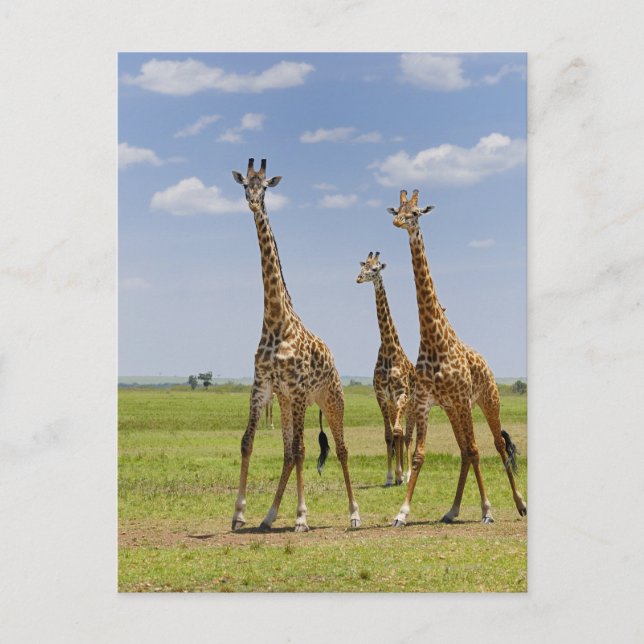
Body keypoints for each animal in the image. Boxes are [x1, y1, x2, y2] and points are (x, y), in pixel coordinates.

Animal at [230, 158, 361, 532]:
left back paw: (354, 514)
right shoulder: (264, 386)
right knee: (289, 453)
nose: (253, 202)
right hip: (287, 402)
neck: (277, 321)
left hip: (331, 400)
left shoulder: (300, 389)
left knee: (341, 450)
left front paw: (302, 516)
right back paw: (269, 515)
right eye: (244, 184)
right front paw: (239, 513)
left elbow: (304, 449)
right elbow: (248, 442)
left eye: (265, 187)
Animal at [356, 251, 416, 486]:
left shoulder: (401, 395)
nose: (359, 278)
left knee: (407, 436)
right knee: (398, 435)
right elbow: (389, 435)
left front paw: (403, 474)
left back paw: (407, 474)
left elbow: (400, 433)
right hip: (393, 406)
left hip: (410, 406)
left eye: (375, 269)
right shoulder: (382, 396)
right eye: (363, 266)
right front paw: (391, 476)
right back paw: (399, 475)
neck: (390, 350)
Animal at [387, 189, 527, 527]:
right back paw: (452, 510)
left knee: (496, 445)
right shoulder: (425, 402)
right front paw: (401, 513)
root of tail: (487, 365)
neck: (433, 338)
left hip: (488, 401)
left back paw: (520, 504)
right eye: (397, 209)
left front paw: (487, 509)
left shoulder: (463, 400)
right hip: (452, 410)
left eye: (416, 213)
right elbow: (420, 455)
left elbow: (478, 449)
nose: (399, 222)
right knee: (464, 450)